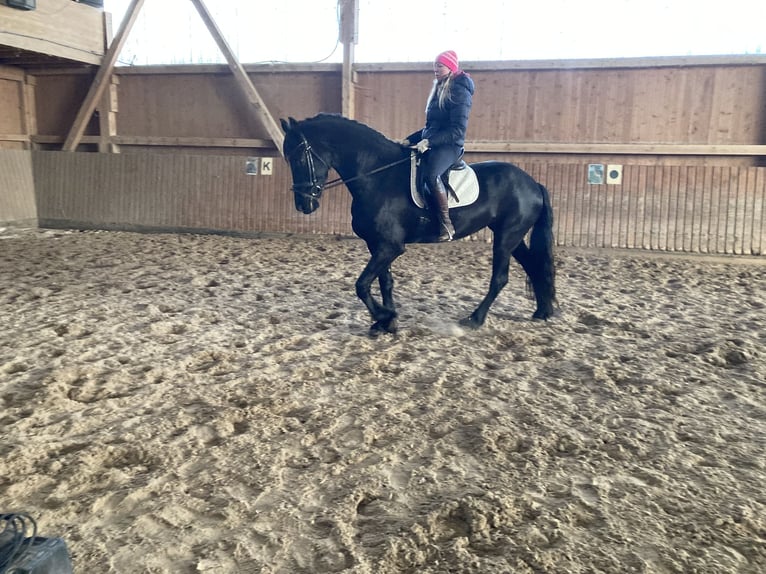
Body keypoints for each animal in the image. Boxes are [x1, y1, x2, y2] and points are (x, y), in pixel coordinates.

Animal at [280, 114, 557, 335]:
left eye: (300, 159)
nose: (304, 205)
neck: (378, 176)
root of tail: (532, 183)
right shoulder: (377, 244)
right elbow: (384, 282)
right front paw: (387, 323)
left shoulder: (390, 246)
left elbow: (361, 284)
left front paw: (385, 316)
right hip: (511, 236)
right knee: (534, 266)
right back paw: (542, 311)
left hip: (506, 237)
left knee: (500, 278)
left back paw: (474, 319)